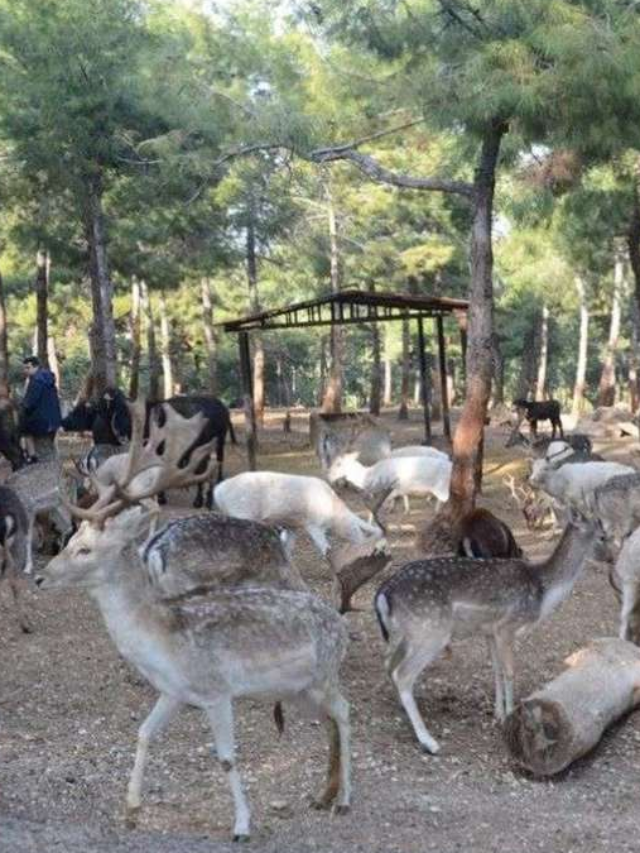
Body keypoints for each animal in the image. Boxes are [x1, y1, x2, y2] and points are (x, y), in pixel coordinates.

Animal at [35, 400, 352, 840]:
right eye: (73, 538)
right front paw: (131, 810)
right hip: (297, 690)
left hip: (323, 676)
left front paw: (241, 825)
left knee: (345, 714)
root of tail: (340, 625)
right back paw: (324, 794)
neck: (162, 643)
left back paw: (344, 799)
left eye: (84, 549)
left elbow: (227, 757)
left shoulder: (216, 690)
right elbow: (143, 733)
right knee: (330, 722)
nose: (40, 577)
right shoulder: (173, 691)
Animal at [376, 506, 608, 752]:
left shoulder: (489, 630)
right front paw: (509, 716)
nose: (611, 558)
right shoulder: (508, 626)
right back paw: (428, 741)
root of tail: (383, 594)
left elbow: (495, 668)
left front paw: (498, 712)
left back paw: (403, 708)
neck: (543, 593)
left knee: (389, 663)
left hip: (403, 635)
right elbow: (509, 671)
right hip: (431, 632)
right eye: (602, 535)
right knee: (402, 673)